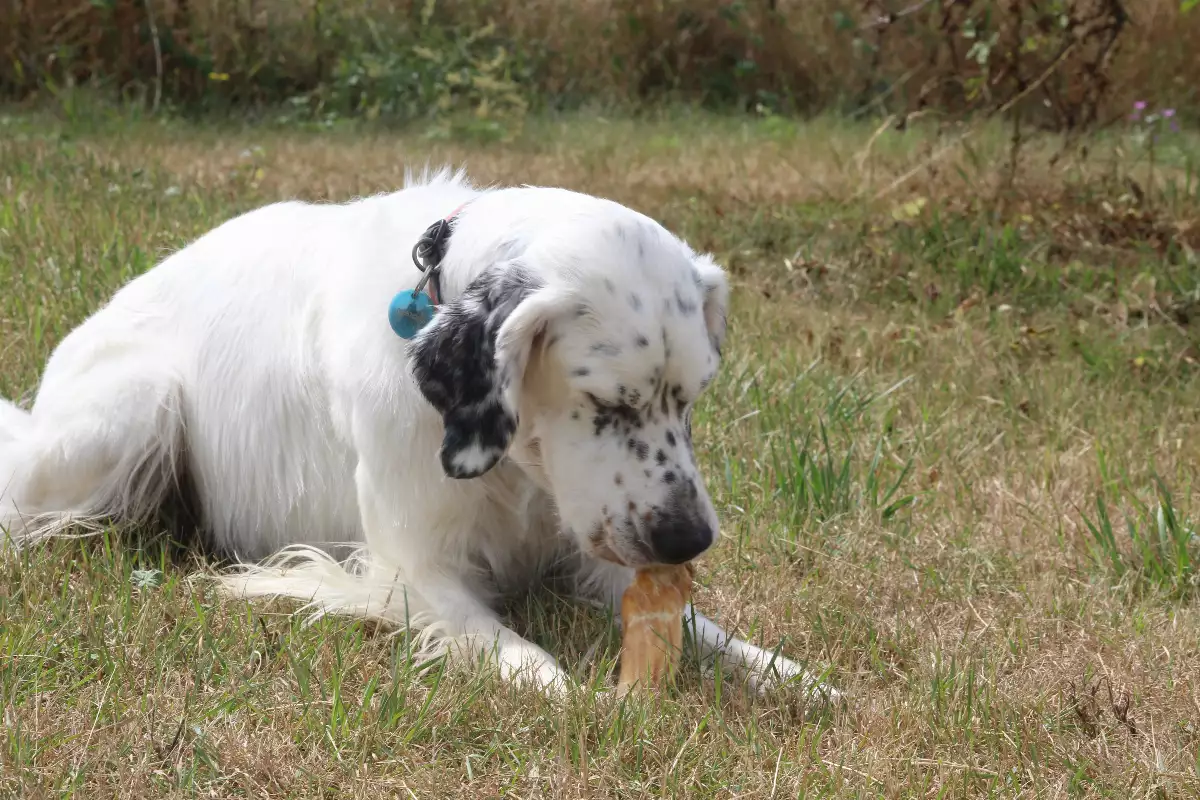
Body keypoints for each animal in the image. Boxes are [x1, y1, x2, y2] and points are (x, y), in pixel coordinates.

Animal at [0, 167, 840, 700]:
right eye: (607, 403)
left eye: (692, 398)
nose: (690, 538)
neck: (517, 464)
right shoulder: (416, 567)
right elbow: (527, 661)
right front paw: (579, 700)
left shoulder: (595, 557)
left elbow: (708, 631)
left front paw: (789, 674)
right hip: (139, 407)